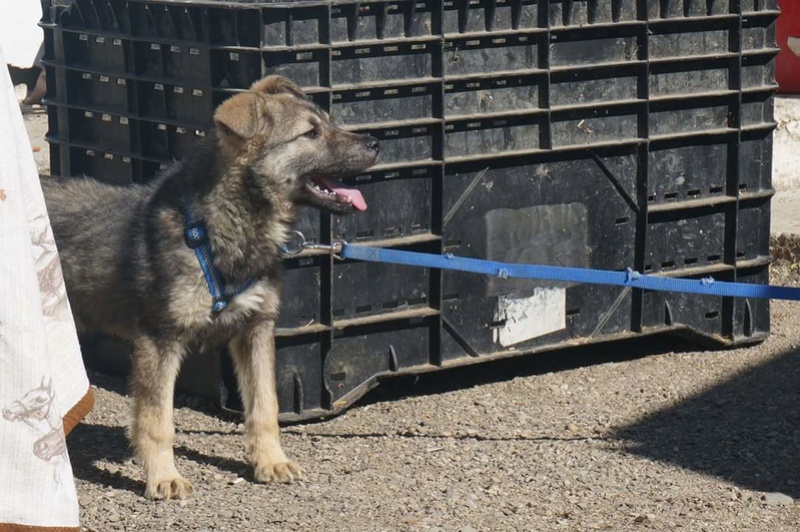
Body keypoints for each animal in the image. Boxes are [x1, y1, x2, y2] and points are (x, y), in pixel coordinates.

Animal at [43, 75, 382, 498]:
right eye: (310, 133)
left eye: (328, 122)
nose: (376, 143)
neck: (220, 227)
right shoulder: (159, 339)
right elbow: (157, 421)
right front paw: (163, 476)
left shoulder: (256, 329)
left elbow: (265, 406)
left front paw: (270, 461)